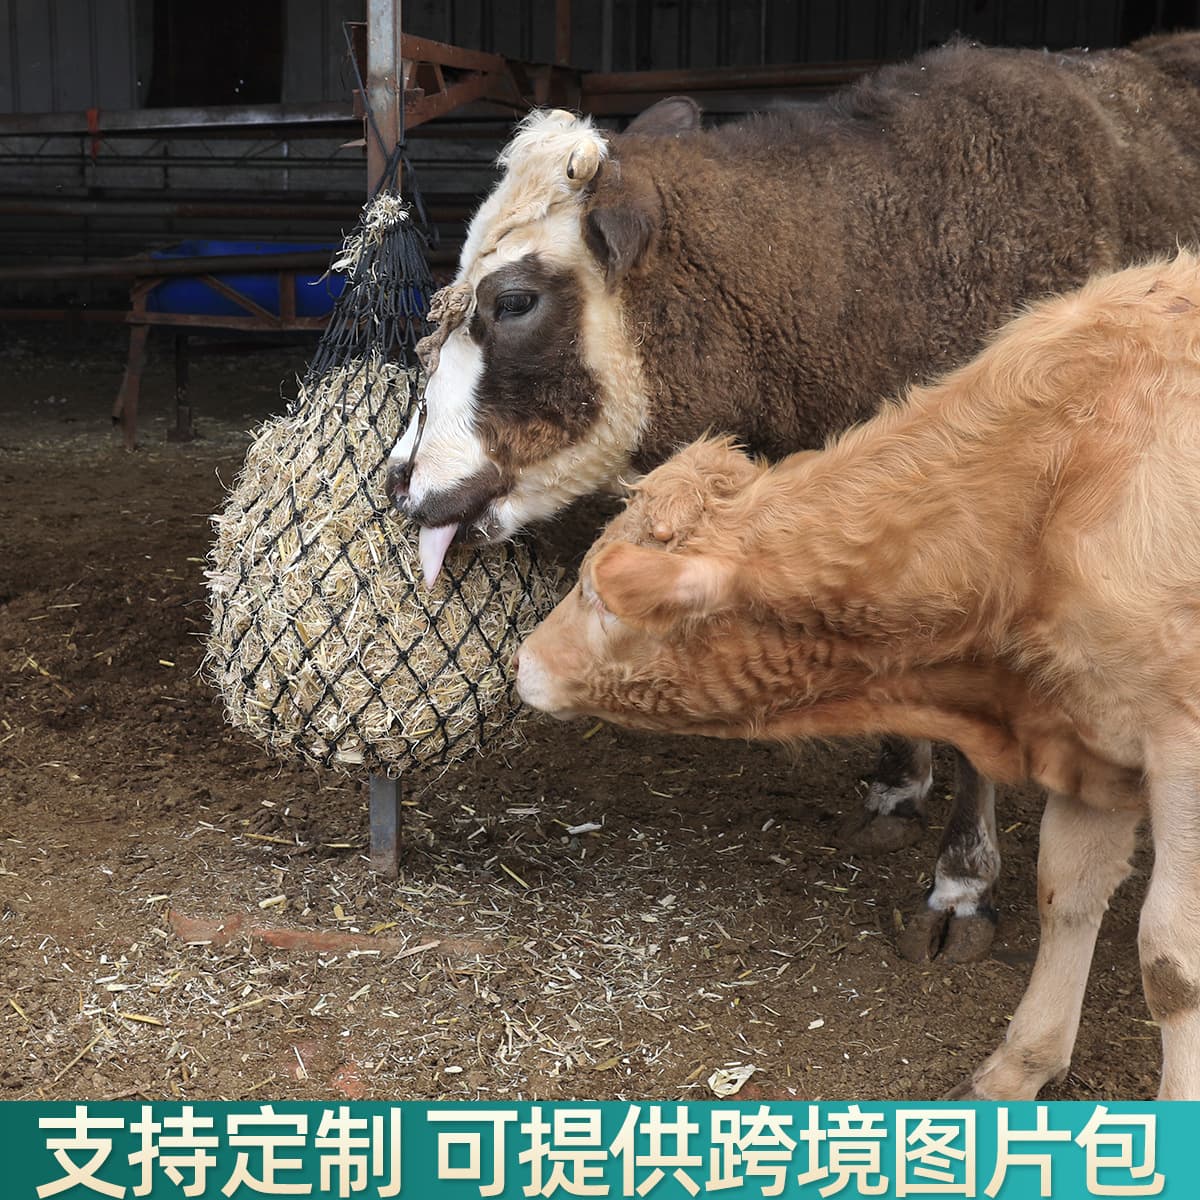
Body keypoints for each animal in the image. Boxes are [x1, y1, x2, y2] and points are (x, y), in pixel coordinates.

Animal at [513, 252, 1200, 1099]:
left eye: (601, 596)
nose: (524, 661)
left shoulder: (1178, 748)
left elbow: (1170, 959)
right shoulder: (1086, 727)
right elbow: (1064, 893)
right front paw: (1018, 1067)